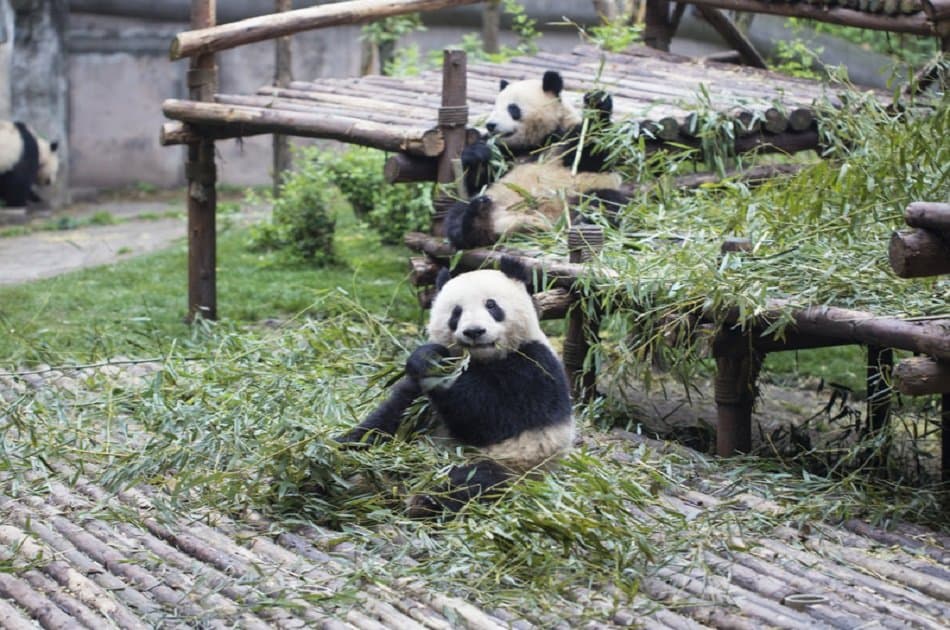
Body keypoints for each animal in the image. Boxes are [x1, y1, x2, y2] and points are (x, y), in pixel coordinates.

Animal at [337, 257, 573, 517]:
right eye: (456, 312)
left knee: (475, 480)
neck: (480, 360)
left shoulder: (534, 368)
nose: (474, 331)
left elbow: (489, 417)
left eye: (491, 305)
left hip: (514, 465)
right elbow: (390, 418)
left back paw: (422, 501)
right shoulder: (418, 395)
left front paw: (433, 364)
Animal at [446, 70, 627, 249]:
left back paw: (583, 221)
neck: (537, 142)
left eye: (512, 108)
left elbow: (592, 155)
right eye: (494, 106)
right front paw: (478, 154)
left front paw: (597, 104)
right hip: (494, 196)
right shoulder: (507, 153)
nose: (490, 125)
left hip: (580, 195)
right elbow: (480, 177)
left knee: (604, 202)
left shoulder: (564, 137)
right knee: (458, 214)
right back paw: (476, 219)